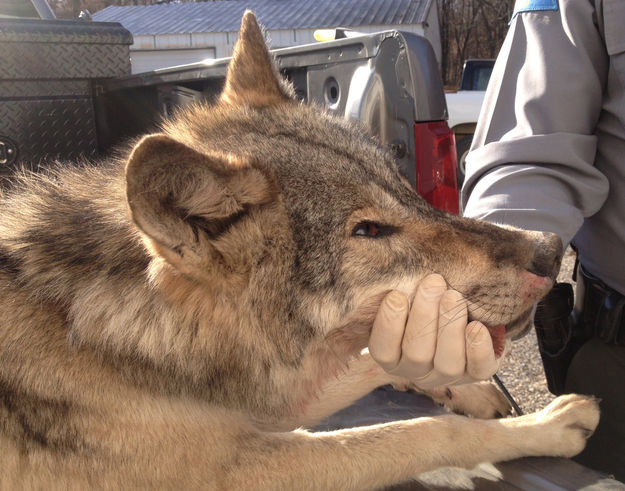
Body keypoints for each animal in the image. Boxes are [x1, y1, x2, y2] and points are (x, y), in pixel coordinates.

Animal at [1, 11, 600, 491]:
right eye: (370, 231)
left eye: (406, 192)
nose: (549, 250)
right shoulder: (235, 468)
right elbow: (425, 432)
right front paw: (546, 427)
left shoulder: (270, 403)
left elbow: (371, 361)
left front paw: (469, 390)